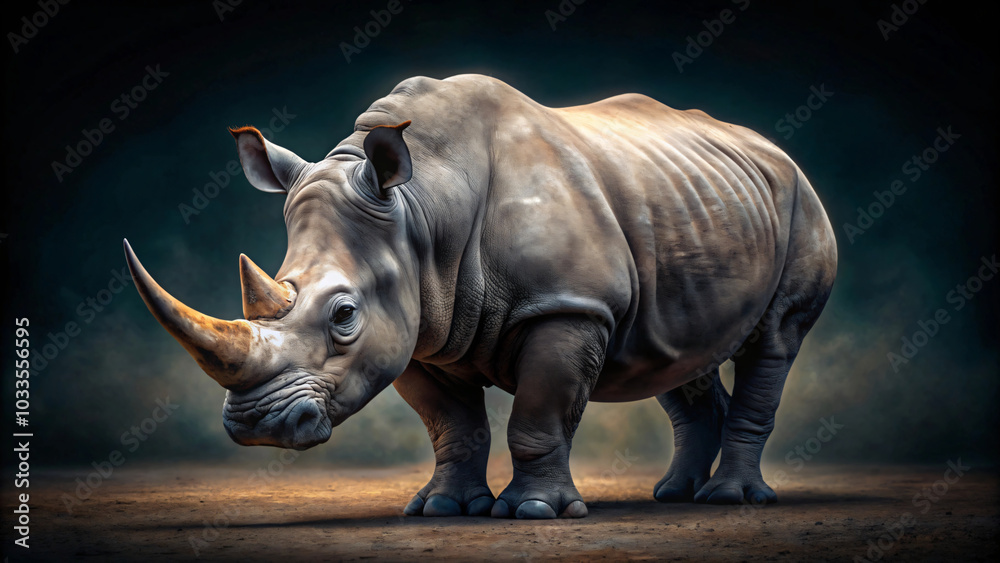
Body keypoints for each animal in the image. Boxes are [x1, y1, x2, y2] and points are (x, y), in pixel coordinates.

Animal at [124, 74, 837, 519]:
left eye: (345, 315)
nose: (256, 428)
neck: (419, 207)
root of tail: (774, 150)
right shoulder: (417, 327)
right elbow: (453, 425)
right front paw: (442, 508)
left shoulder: (565, 305)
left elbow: (538, 414)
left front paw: (535, 511)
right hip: (689, 206)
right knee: (674, 351)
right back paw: (674, 495)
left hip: (800, 200)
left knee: (773, 341)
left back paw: (728, 499)